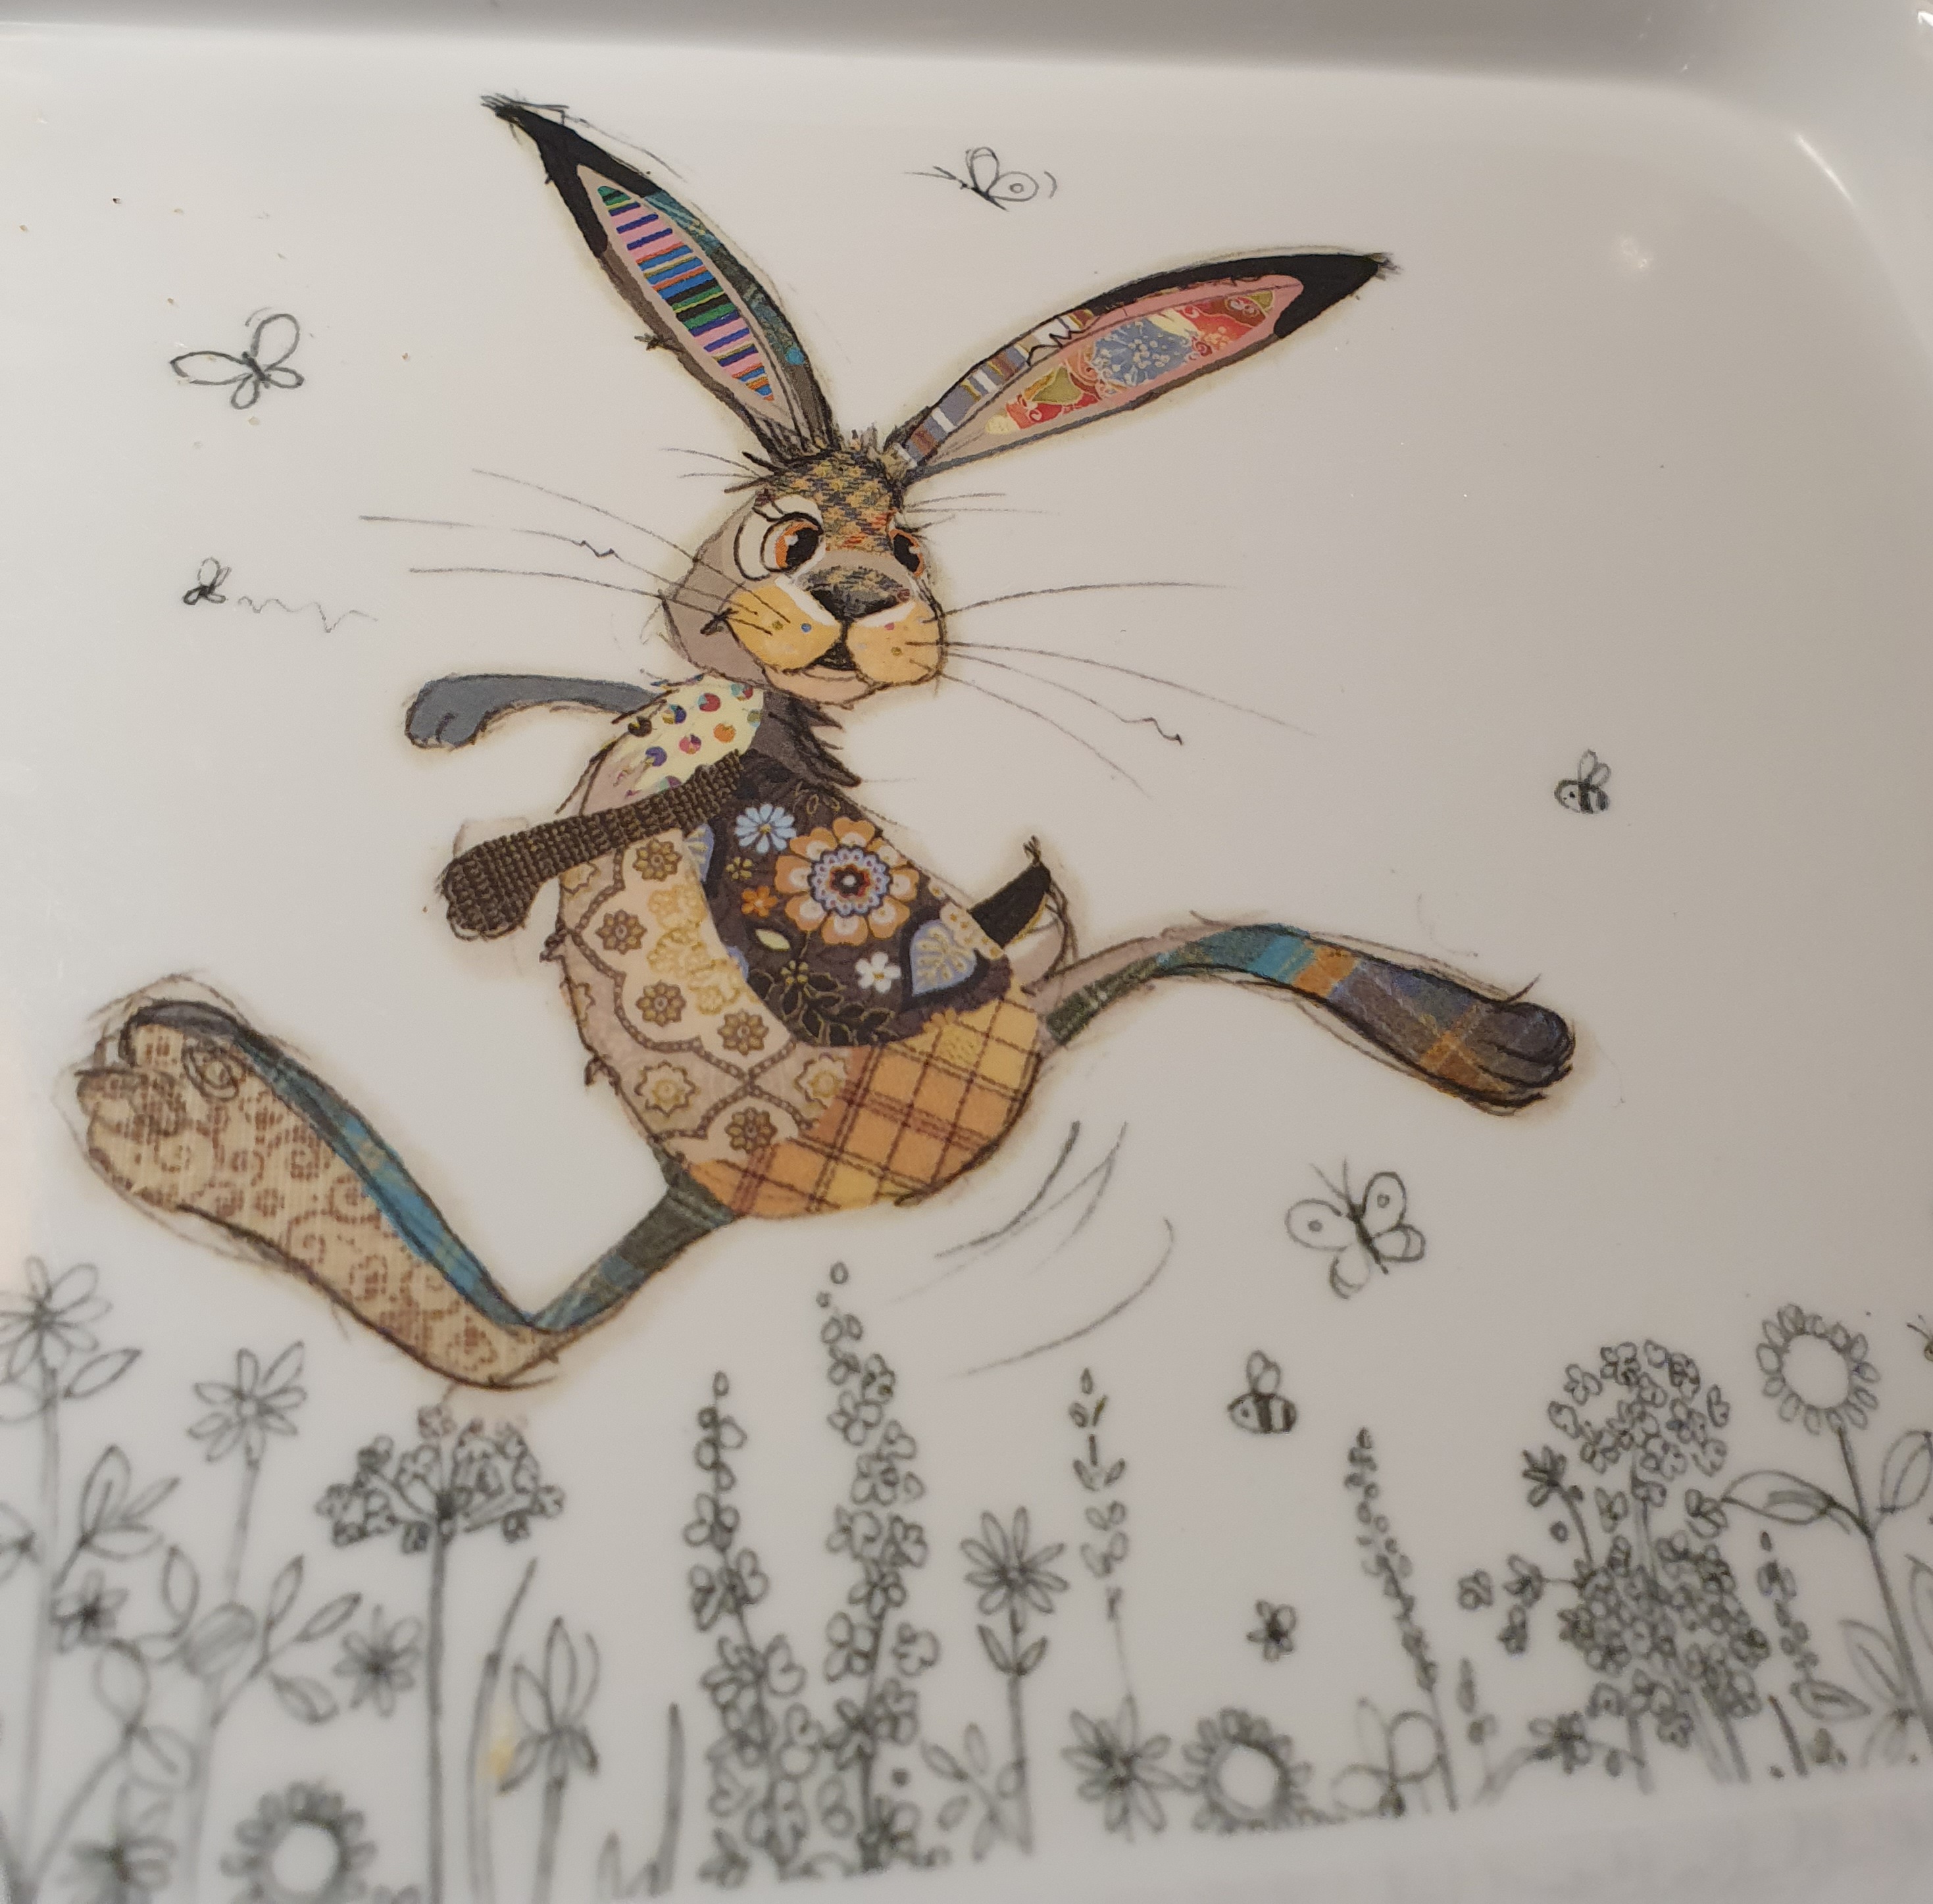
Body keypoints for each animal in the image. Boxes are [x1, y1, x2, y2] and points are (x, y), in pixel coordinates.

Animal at [71, 100, 1573, 1388]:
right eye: (788, 535)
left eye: (908, 551)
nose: (859, 595)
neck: (712, 742)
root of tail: (1043, 1023)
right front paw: (452, 711)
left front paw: (473, 882)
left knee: (542, 1325)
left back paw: (203, 1116)